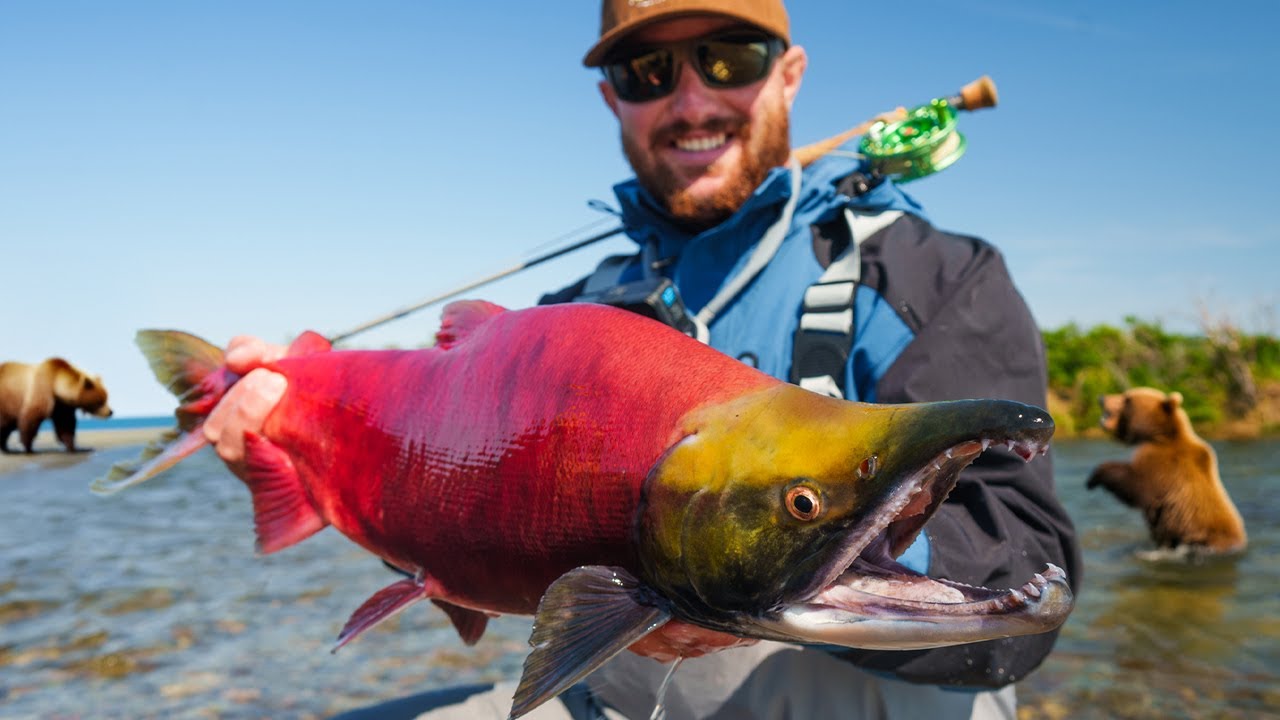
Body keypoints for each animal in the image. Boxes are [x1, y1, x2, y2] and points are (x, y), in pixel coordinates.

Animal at [1086, 387, 1246, 554]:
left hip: (1202, 536)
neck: (1159, 435)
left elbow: (1136, 485)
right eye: (1126, 394)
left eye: (1128, 399)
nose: (1101, 398)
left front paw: (1094, 477)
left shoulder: (1162, 463)